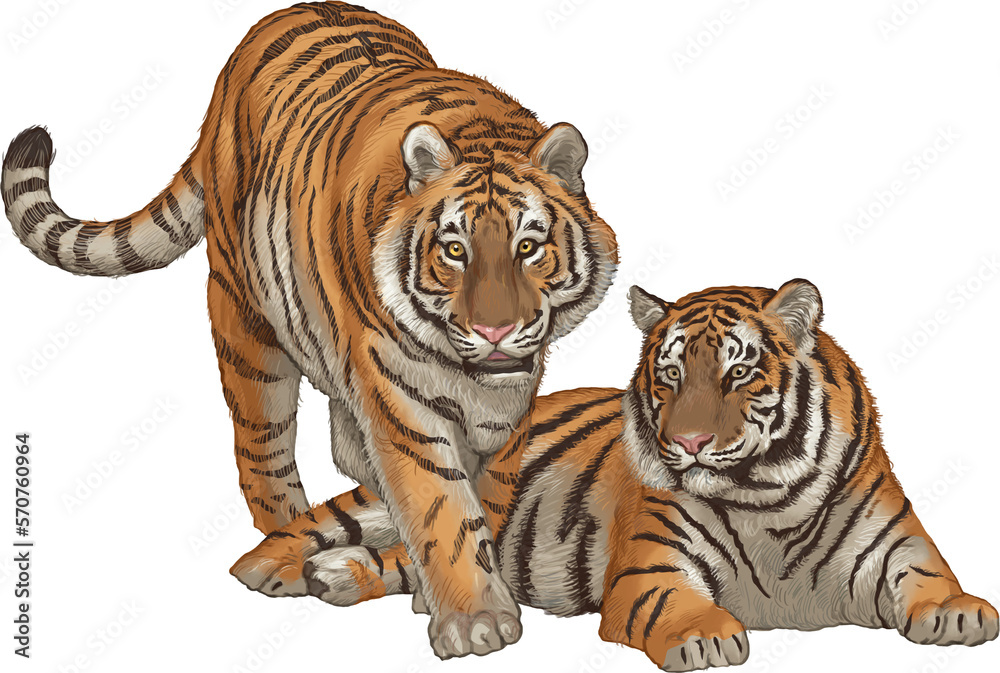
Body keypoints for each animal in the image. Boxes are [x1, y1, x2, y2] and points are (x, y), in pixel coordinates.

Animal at [0, 1, 618, 658]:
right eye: (455, 250)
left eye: (529, 247)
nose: (496, 330)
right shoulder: (402, 401)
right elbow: (443, 507)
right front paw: (476, 620)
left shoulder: (508, 410)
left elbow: (489, 497)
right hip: (247, 321)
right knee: (266, 455)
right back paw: (290, 552)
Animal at [230, 280, 998, 670]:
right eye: (671, 374)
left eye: (738, 372)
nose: (687, 441)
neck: (766, 497)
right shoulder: (651, 569)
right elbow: (677, 607)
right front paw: (704, 636)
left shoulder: (899, 544)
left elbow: (931, 577)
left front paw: (962, 613)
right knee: (341, 528)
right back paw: (274, 570)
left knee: (417, 562)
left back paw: (341, 576)